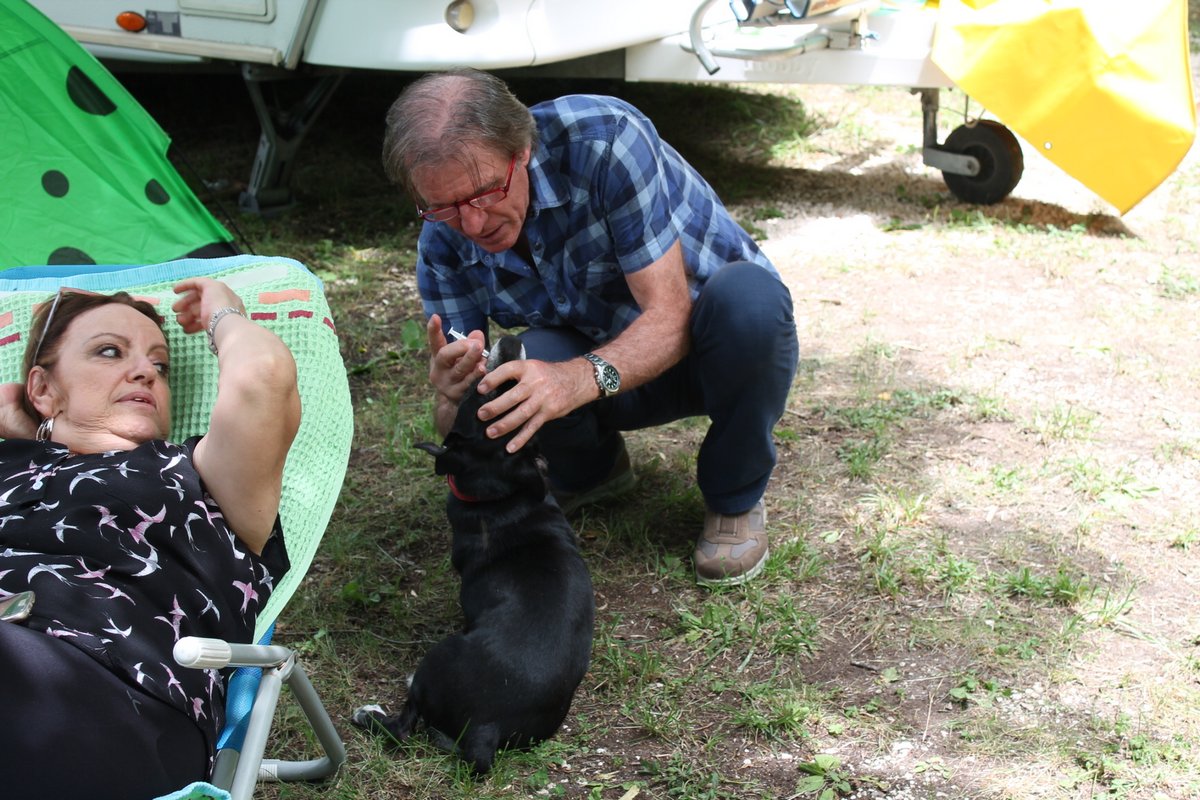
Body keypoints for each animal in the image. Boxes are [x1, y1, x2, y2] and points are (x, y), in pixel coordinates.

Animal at [350, 333, 595, 777]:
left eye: (480, 395)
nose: (512, 341)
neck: (501, 498)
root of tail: (487, 727)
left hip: (435, 659)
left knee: (402, 727)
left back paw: (370, 713)